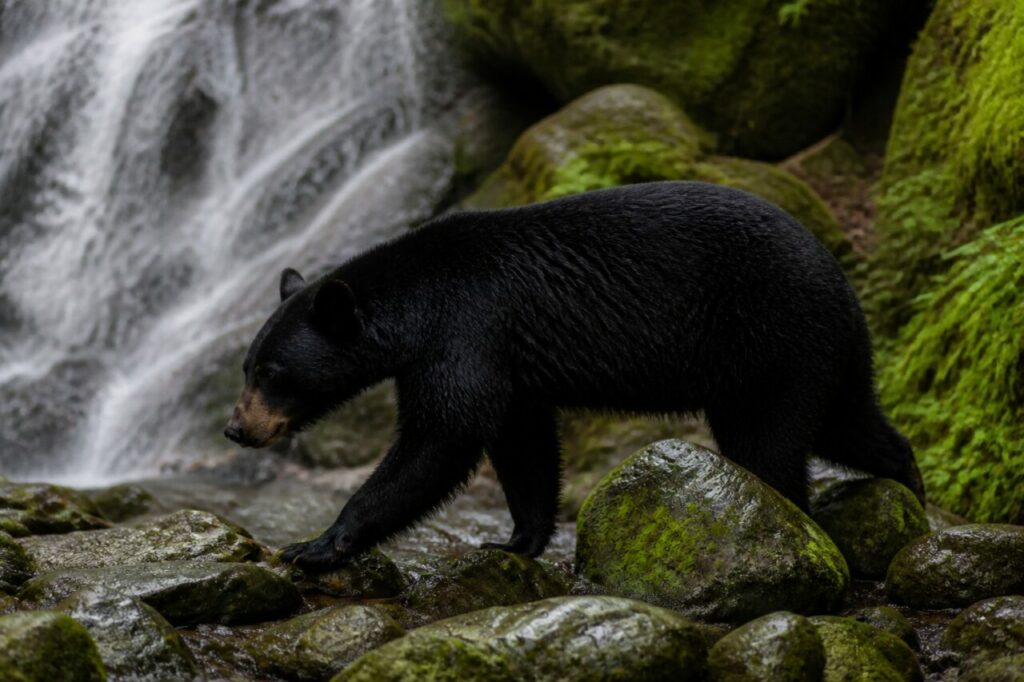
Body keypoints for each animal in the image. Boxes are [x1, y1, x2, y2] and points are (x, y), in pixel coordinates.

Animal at [224, 181, 925, 571]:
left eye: (272, 371)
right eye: (247, 366)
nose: (236, 429)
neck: (417, 301)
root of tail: (839, 276)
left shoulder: (467, 328)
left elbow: (441, 438)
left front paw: (318, 543)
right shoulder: (503, 357)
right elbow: (522, 440)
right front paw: (517, 541)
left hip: (772, 336)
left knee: (770, 446)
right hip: (813, 354)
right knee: (848, 421)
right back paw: (908, 487)